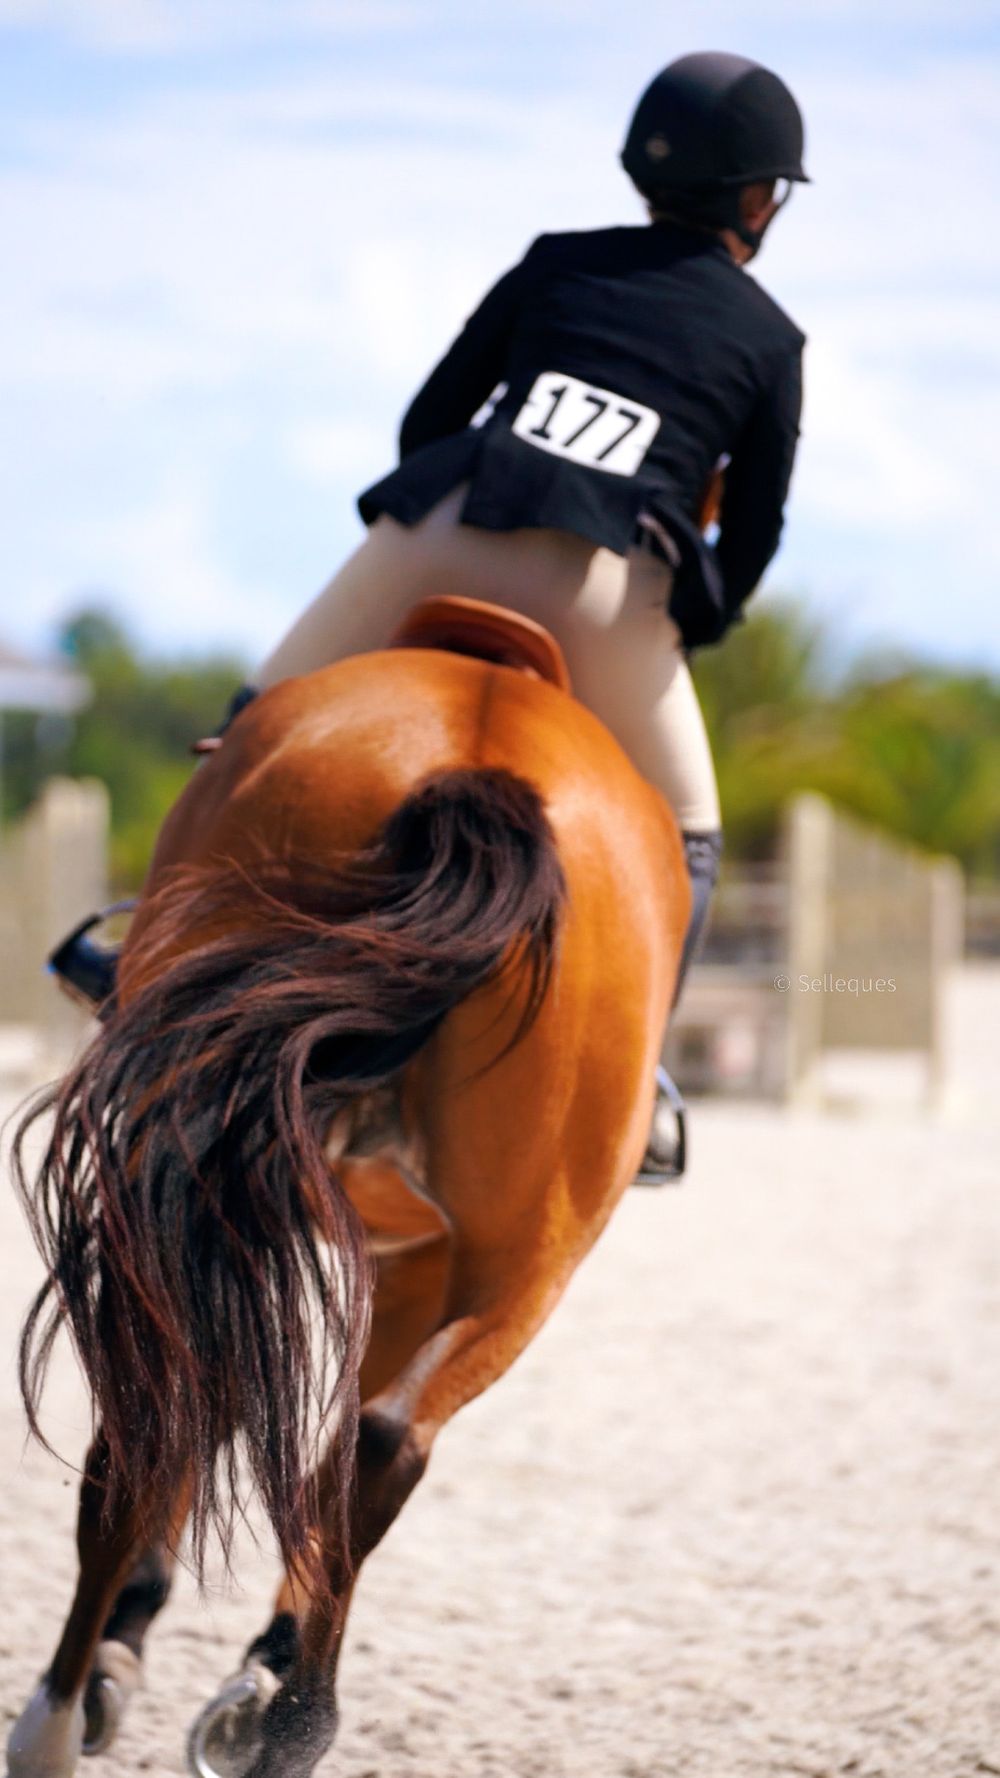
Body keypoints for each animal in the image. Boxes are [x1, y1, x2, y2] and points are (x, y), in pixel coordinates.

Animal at [7, 600, 688, 1778]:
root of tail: (481, 761)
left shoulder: (382, 1251)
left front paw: (218, 1656)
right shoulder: (404, 1258)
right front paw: (252, 1664)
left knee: (227, 1424)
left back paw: (91, 1707)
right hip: (527, 1257)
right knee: (369, 1440)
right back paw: (274, 1722)